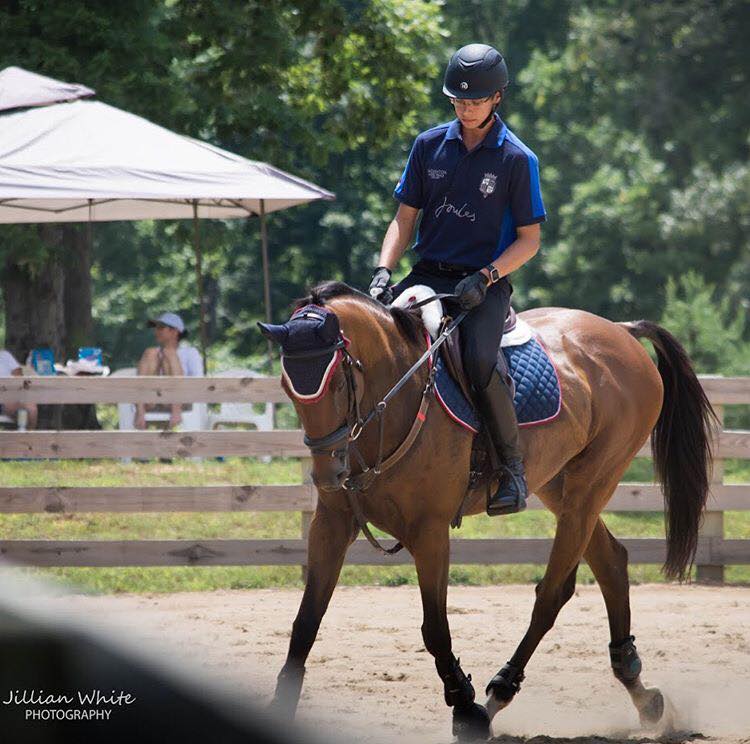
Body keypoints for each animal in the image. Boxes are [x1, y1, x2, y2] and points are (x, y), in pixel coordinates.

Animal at [258, 282, 716, 740]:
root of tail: (621, 331)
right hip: (560, 485)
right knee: (611, 563)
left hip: (592, 485)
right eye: (286, 385)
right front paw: (280, 706)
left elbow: (435, 628)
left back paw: (498, 694)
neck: (397, 395)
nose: (328, 474)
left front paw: (464, 707)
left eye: (338, 381)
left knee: (552, 593)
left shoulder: (429, 531)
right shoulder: (332, 524)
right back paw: (641, 692)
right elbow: (306, 620)